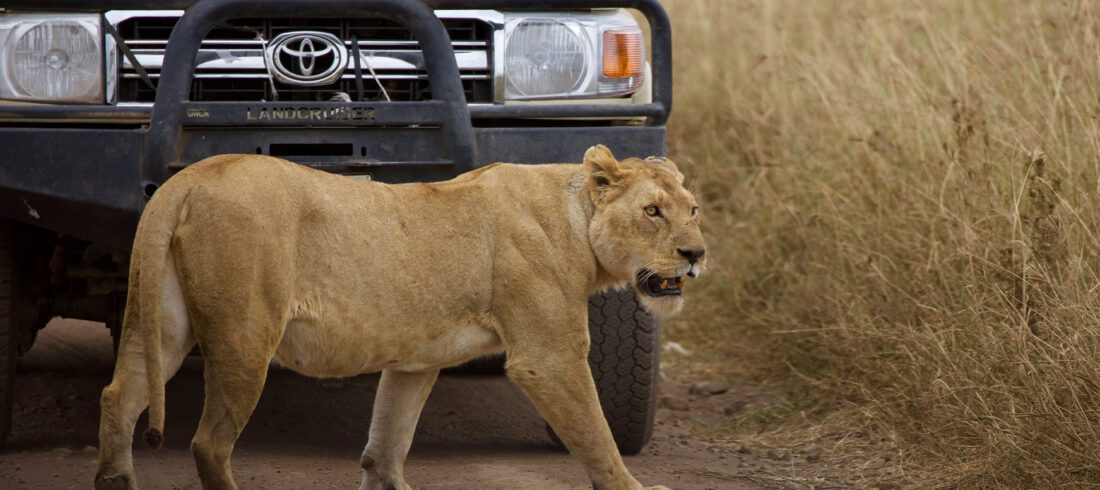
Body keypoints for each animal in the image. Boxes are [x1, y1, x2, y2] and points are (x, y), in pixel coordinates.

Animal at [94, 145, 707, 490]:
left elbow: (385, 447)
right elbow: (597, 438)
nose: (696, 253)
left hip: (165, 324)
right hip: (245, 337)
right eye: (653, 211)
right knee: (208, 444)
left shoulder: (415, 361)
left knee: (119, 395)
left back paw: (116, 480)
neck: (575, 216)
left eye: (693, 209)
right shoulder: (547, 357)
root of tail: (186, 180)